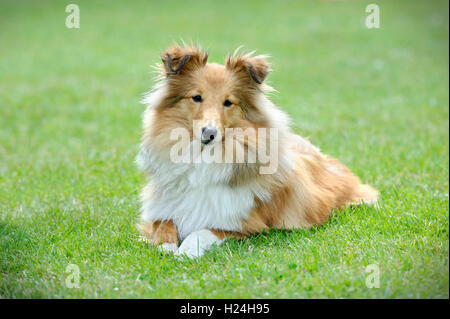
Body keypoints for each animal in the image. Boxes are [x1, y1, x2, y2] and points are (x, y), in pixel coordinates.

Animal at [135, 45, 378, 258]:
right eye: (196, 97)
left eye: (228, 102)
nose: (209, 133)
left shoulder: (245, 225)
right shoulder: (164, 208)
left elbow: (201, 231)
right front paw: (166, 247)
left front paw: (185, 251)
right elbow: (164, 224)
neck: (203, 159)